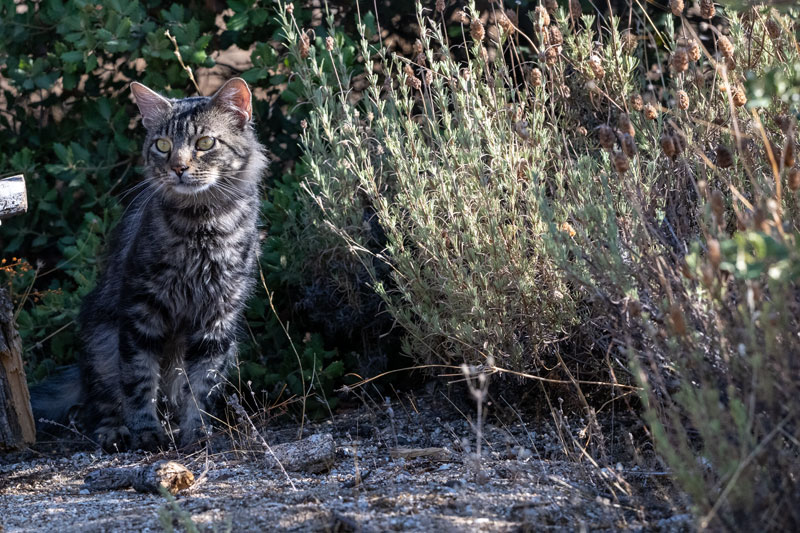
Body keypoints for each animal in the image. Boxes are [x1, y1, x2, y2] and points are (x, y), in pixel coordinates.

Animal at [32, 79, 268, 450]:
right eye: (162, 145)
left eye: (205, 143)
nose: (178, 168)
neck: (202, 224)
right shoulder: (141, 308)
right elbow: (139, 380)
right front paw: (145, 431)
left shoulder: (218, 317)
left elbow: (200, 388)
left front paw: (197, 434)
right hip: (101, 338)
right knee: (99, 401)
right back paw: (115, 431)